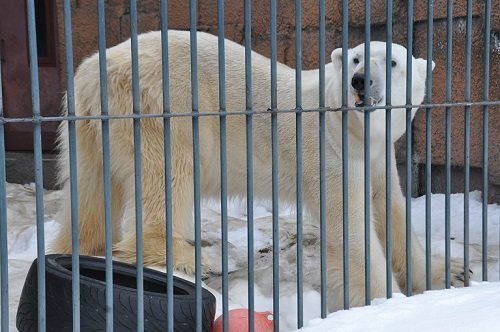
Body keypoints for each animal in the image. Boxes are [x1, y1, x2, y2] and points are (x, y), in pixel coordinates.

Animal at [50, 30, 464, 312]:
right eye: (357, 59)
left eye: (392, 62)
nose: (360, 81)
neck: (351, 126)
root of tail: (91, 69)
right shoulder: (329, 151)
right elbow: (351, 228)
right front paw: (384, 302)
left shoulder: (377, 158)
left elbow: (390, 211)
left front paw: (451, 274)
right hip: (161, 105)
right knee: (168, 174)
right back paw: (186, 257)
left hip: (88, 127)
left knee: (90, 191)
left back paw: (85, 247)